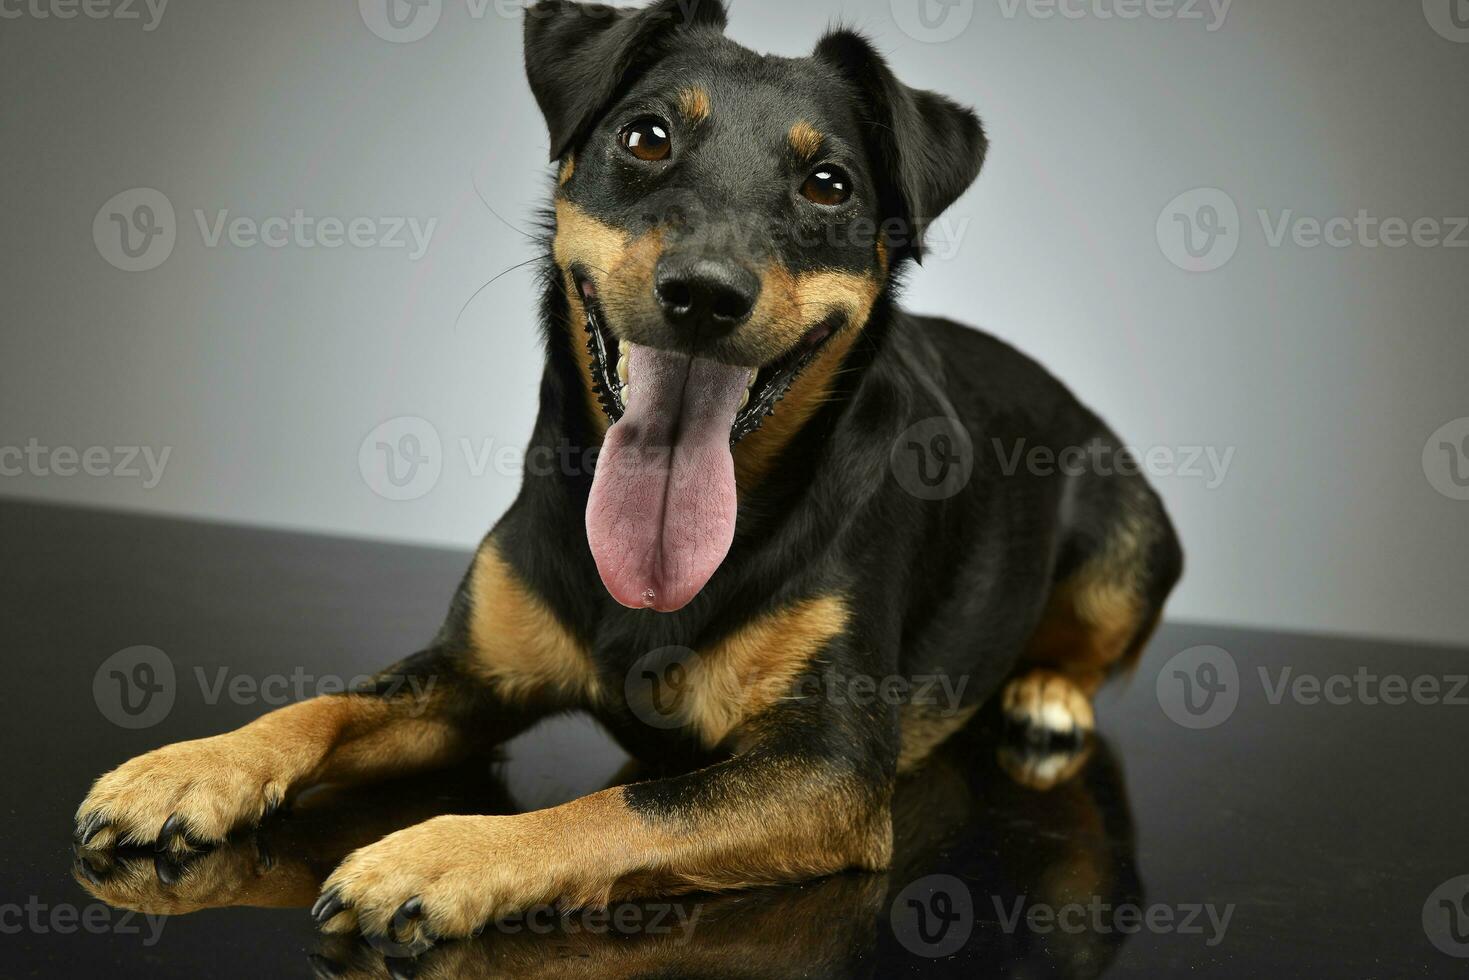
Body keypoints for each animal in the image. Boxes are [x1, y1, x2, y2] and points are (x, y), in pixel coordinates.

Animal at [77, 0, 1181, 952]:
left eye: (828, 185)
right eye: (646, 138)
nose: (703, 294)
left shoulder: (823, 767)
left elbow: (630, 801)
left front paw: (437, 856)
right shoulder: (471, 677)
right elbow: (328, 705)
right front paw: (189, 767)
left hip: (1128, 541)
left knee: (1090, 641)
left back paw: (1045, 691)